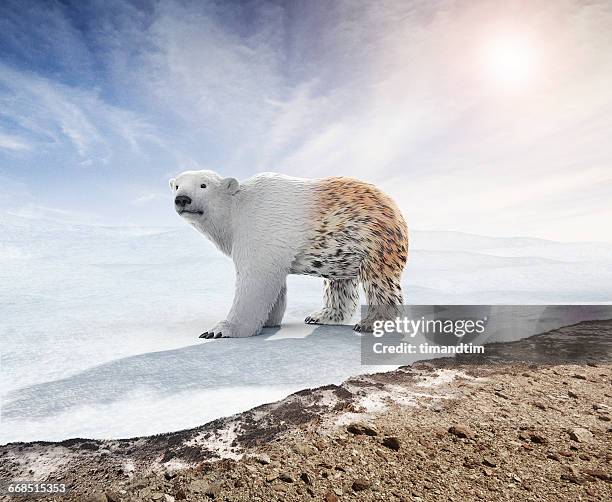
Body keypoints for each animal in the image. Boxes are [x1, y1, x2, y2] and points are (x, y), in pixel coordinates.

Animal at [170, 171, 408, 340]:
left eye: (203, 185)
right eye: (177, 185)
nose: (182, 199)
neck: (237, 209)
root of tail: (396, 210)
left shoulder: (258, 229)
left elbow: (255, 282)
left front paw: (220, 329)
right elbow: (275, 285)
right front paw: (269, 321)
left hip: (372, 240)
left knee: (378, 281)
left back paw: (371, 323)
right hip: (344, 251)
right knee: (339, 283)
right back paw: (322, 316)